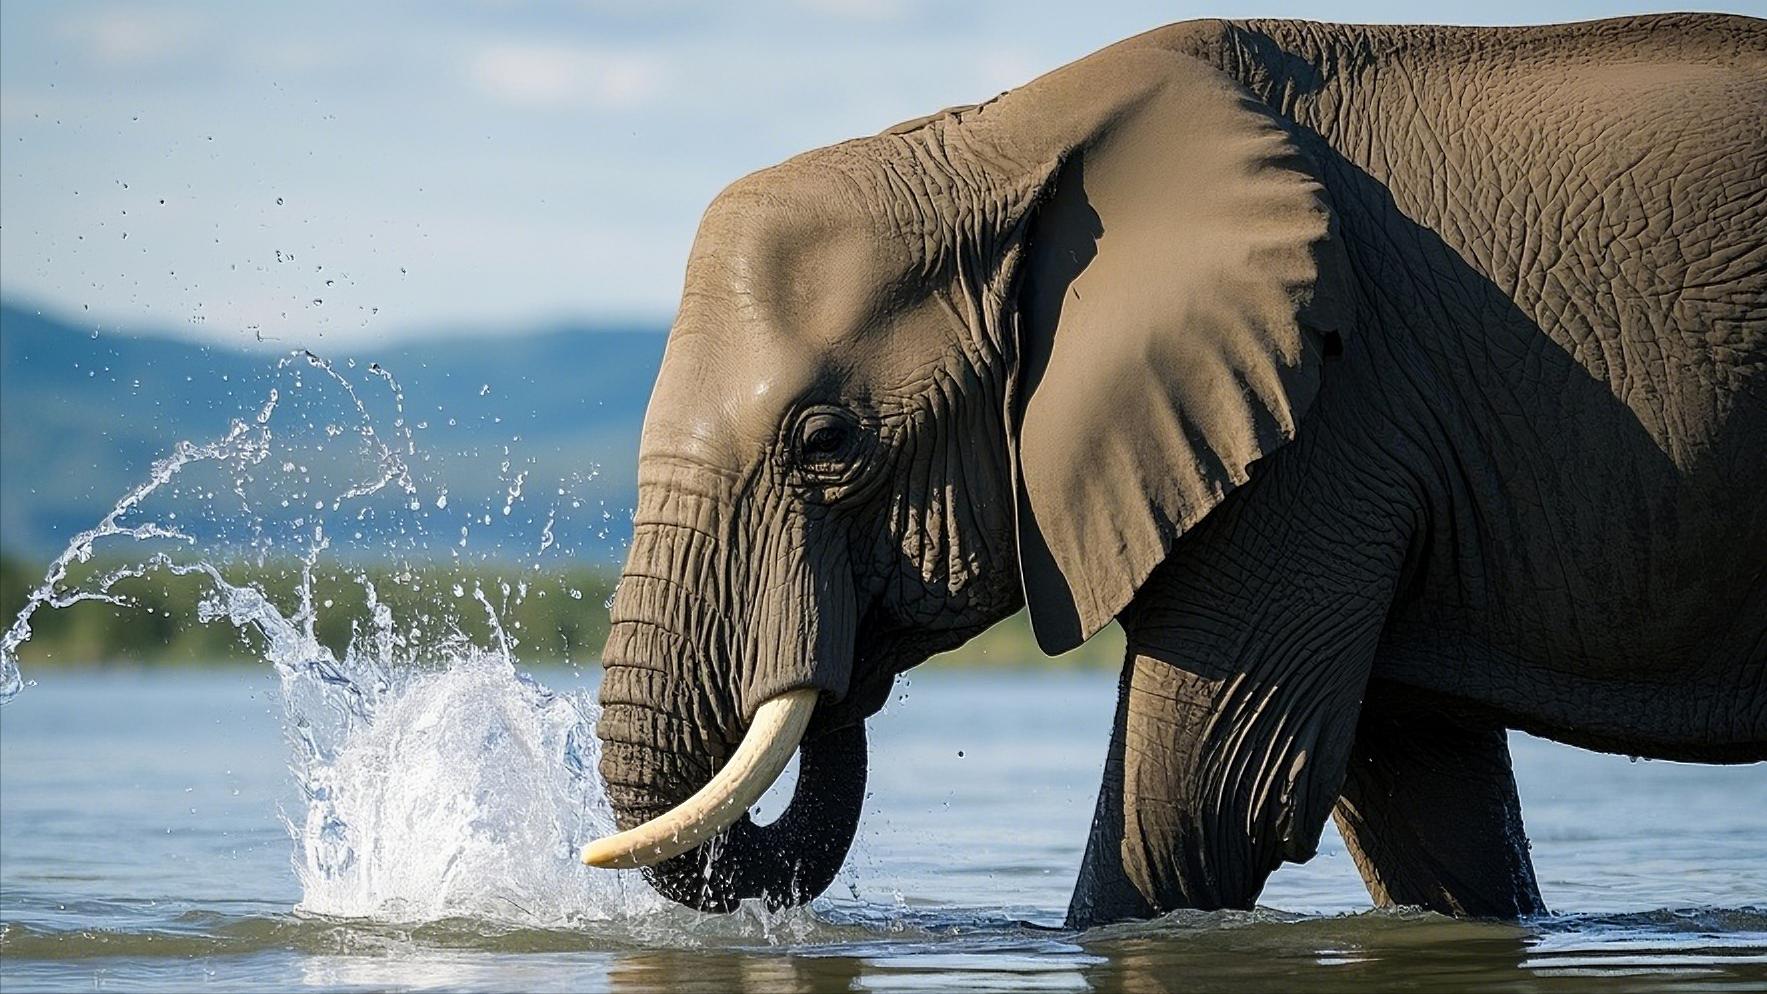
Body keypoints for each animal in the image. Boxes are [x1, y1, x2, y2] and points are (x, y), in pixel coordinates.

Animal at [581, 13, 1767, 927]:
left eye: (827, 443)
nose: (833, 672)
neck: (1007, 136)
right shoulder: (1381, 449)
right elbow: (1417, 798)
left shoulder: (1325, 418)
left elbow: (1208, 795)